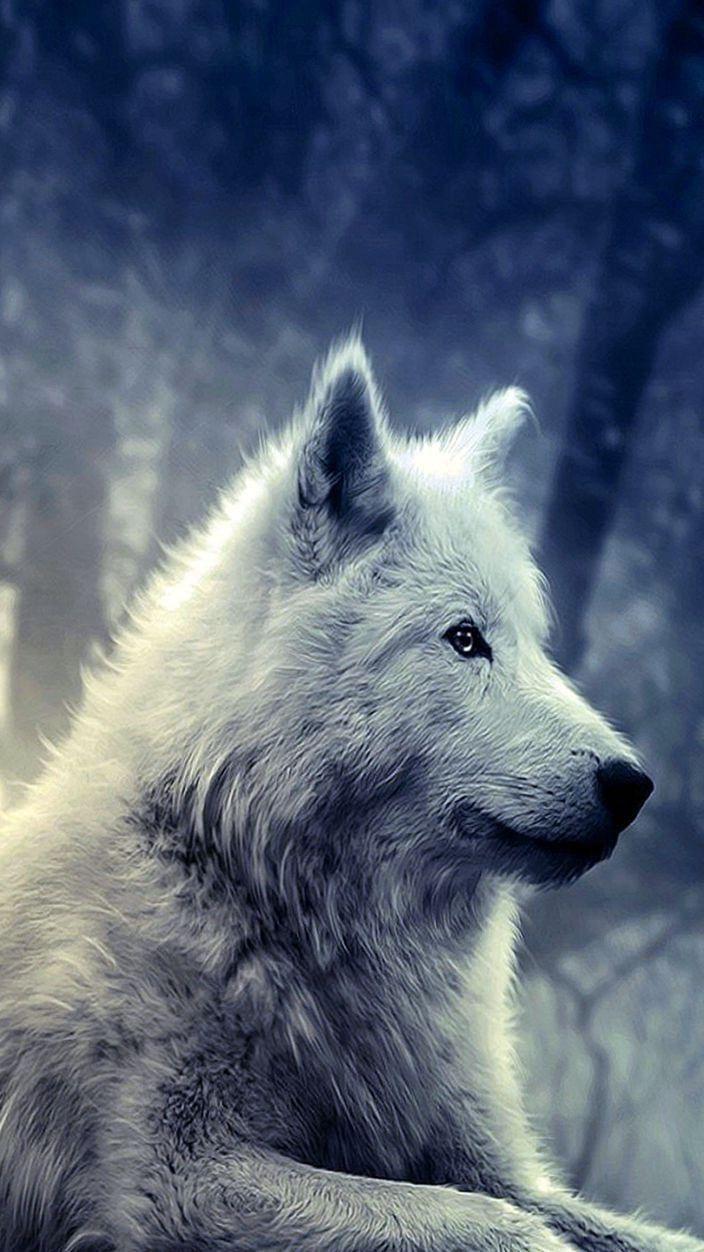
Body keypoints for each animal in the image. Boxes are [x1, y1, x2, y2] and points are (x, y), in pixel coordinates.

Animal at [0, 339, 699, 1252]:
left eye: (535, 645)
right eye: (465, 639)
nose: (633, 784)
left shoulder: (493, 1161)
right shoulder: (174, 1179)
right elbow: (499, 1227)